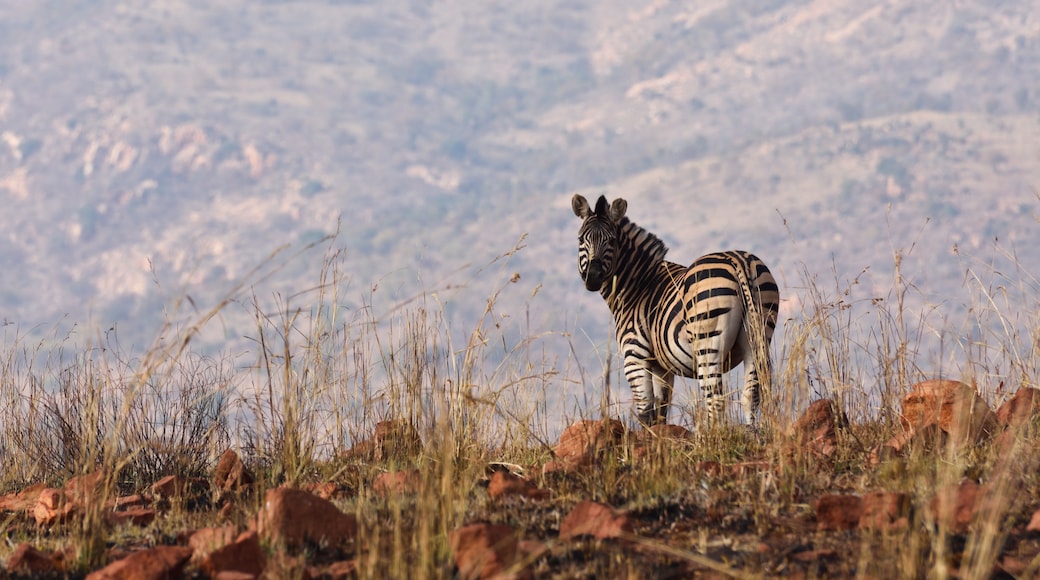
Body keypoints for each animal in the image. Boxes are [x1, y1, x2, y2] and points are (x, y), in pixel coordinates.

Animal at [569, 195, 782, 428]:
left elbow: (646, 413)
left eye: (612, 241)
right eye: (581, 240)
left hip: (707, 341)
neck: (638, 285)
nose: (593, 277)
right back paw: (752, 433)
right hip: (758, 334)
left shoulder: (635, 356)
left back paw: (710, 437)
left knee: (715, 399)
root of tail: (738, 261)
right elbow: (660, 412)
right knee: (750, 395)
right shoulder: (662, 367)